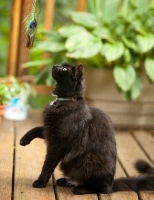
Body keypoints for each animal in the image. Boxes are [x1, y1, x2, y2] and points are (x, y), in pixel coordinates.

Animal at [20, 62, 154, 194]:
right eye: (60, 64)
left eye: (64, 68)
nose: (54, 65)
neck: (63, 101)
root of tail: (111, 184)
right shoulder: (50, 130)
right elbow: (37, 129)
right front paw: (24, 140)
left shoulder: (57, 143)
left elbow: (48, 165)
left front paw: (41, 182)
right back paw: (65, 181)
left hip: (89, 159)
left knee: (99, 188)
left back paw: (80, 189)